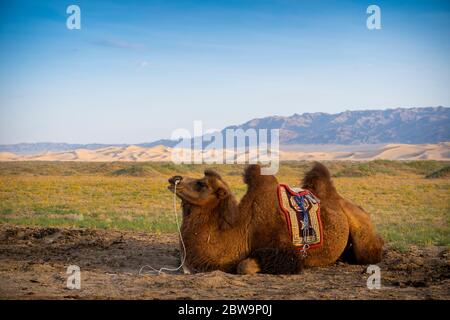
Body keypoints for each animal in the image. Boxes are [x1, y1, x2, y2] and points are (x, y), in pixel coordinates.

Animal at [168, 162, 384, 276]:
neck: (242, 229)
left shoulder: (287, 253)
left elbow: (244, 265)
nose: (174, 179)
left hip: (363, 233)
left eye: (201, 184)